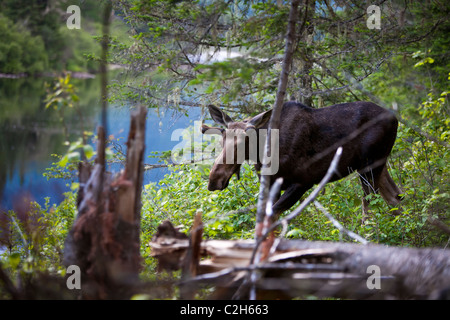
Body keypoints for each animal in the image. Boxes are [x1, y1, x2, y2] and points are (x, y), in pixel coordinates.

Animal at [202, 100, 402, 225]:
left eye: (246, 140)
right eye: (222, 138)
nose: (215, 179)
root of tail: (395, 119)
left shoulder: (304, 182)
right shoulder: (271, 184)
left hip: (371, 164)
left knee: (369, 203)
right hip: (375, 165)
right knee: (395, 197)